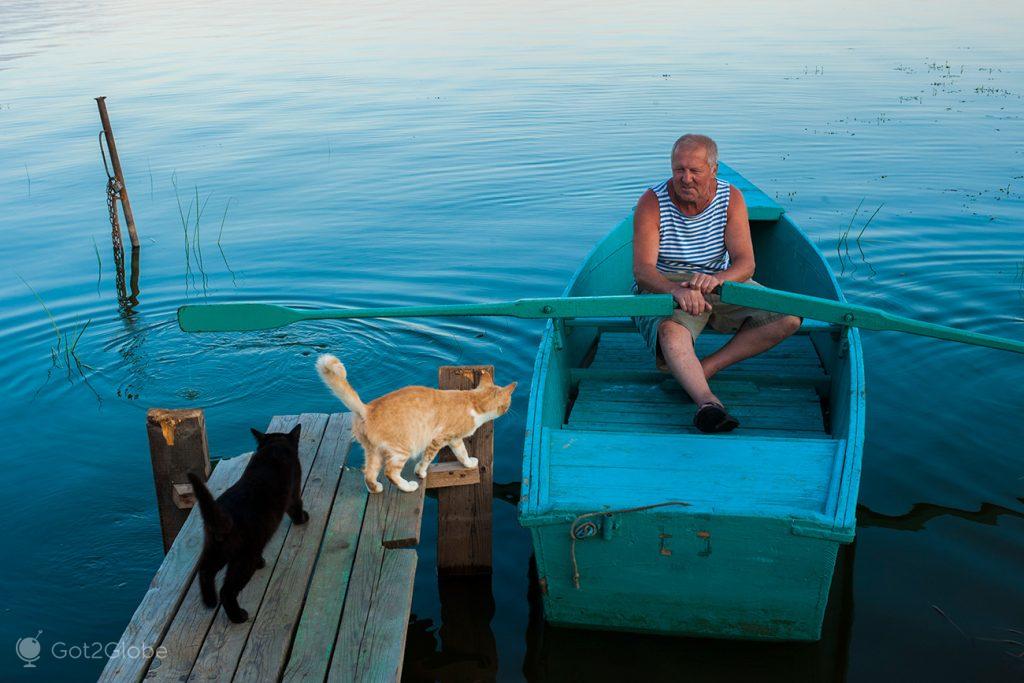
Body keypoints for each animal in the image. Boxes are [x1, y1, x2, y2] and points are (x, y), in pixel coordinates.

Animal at [187, 423, 307, 622]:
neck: (274, 447)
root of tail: (223, 515)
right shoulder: (294, 492)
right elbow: (297, 506)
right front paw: (303, 518)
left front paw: (261, 562)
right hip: (243, 558)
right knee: (227, 591)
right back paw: (238, 616)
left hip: (216, 550)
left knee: (204, 572)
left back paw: (210, 601)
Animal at [315, 356, 516, 493]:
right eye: (509, 403)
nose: (509, 410)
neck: (473, 401)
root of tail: (367, 409)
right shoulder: (438, 439)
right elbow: (427, 459)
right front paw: (420, 473)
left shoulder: (454, 440)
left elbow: (462, 453)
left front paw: (467, 463)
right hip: (402, 449)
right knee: (390, 473)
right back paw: (408, 486)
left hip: (374, 452)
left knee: (369, 473)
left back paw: (376, 489)